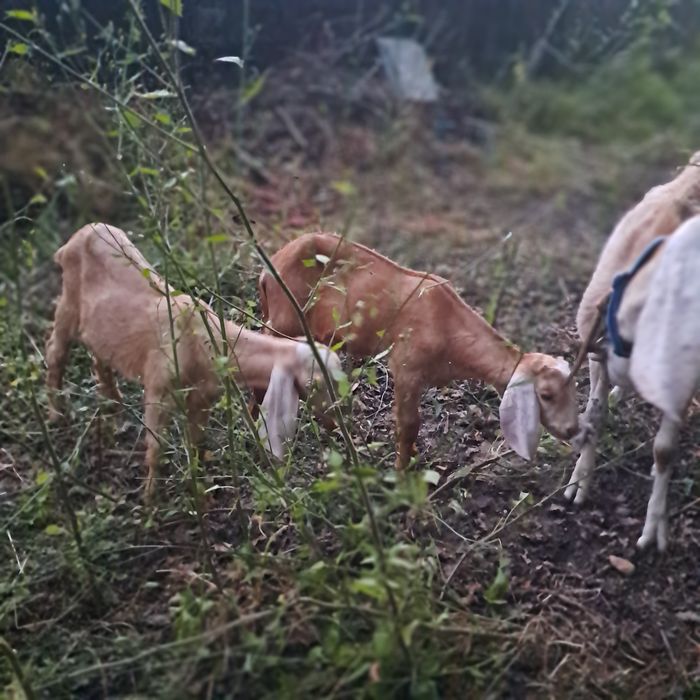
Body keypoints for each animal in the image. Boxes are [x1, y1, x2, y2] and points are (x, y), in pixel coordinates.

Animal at [46, 223, 341, 501]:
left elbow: (196, 444)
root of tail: (75, 238)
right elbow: (157, 448)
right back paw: (57, 416)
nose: (336, 425)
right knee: (55, 353)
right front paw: (151, 502)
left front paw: (199, 493)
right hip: (67, 306)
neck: (204, 340)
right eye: (315, 384)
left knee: (99, 359)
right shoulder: (158, 390)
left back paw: (114, 409)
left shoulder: (203, 398)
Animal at [258, 232, 579, 468]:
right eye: (546, 395)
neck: (447, 327)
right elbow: (409, 424)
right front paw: (403, 476)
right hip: (284, 320)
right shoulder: (406, 366)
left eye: (573, 389)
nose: (572, 430)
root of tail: (267, 271)